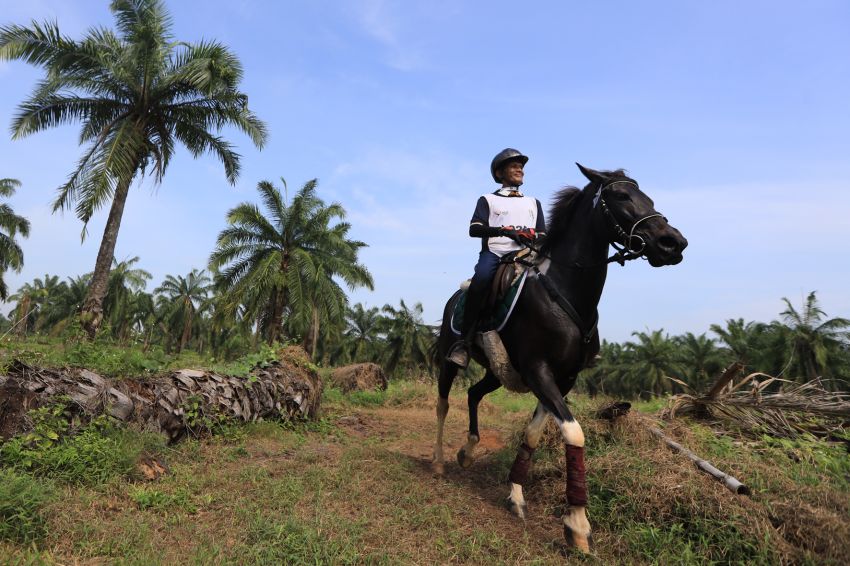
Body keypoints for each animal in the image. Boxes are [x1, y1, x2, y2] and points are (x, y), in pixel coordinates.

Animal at [434, 164, 684, 556]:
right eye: (621, 196)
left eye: (648, 197)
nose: (673, 243)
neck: (565, 290)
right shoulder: (539, 372)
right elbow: (574, 433)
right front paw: (578, 525)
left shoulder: (562, 379)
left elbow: (533, 434)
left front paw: (516, 495)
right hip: (449, 360)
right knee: (443, 403)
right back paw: (440, 462)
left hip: (497, 372)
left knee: (473, 394)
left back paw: (468, 451)